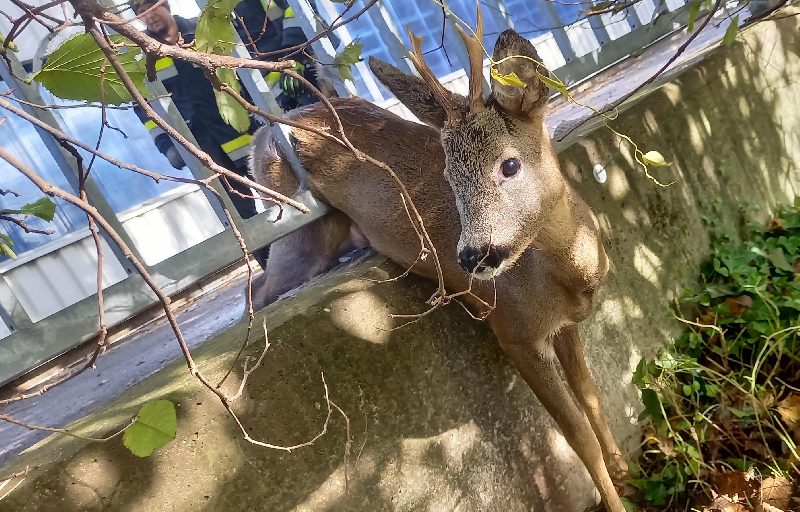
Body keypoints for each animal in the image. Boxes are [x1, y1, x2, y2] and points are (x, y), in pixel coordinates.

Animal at [248, 9, 629, 511]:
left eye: (509, 164)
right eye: (449, 175)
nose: (471, 255)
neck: (568, 276)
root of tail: (263, 131)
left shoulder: (564, 326)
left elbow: (591, 395)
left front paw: (623, 466)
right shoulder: (515, 332)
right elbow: (576, 434)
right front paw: (616, 495)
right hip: (297, 228)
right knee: (261, 287)